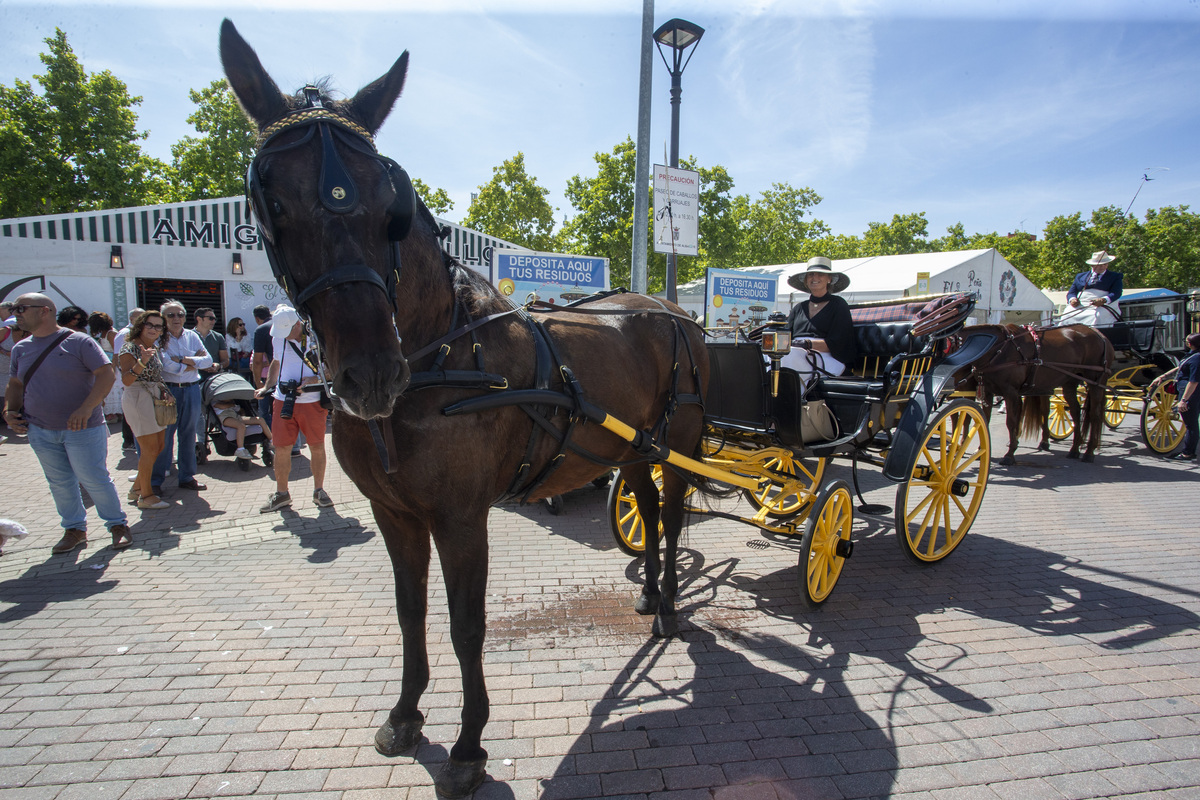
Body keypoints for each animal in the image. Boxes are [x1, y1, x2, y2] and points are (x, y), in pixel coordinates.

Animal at [222, 21, 705, 796]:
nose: (369, 373)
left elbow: (465, 624)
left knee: (673, 511)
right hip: (633, 447)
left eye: (388, 209)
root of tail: (670, 310)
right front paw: (405, 713)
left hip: (678, 444)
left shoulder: (460, 515)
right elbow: (410, 610)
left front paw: (469, 745)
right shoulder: (395, 512)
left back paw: (667, 611)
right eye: (274, 207)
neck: (436, 355)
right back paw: (649, 597)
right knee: (652, 511)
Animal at [955, 323, 1113, 462]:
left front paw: (1009, 454)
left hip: (1096, 382)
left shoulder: (1010, 392)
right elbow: (984, 421)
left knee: (1095, 414)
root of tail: (1099, 334)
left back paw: (1089, 451)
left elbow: (1011, 422)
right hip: (1070, 382)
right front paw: (980, 449)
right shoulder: (987, 391)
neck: (998, 349)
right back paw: (1074, 449)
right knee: (1075, 410)